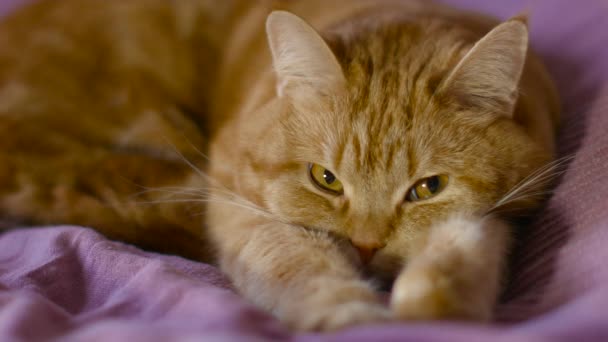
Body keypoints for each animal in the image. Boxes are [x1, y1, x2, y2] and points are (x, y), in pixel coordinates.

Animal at [0, 0, 560, 332]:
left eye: (428, 187)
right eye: (325, 179)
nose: (366, 245)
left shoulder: (506, 208)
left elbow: (471, 239)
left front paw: (438, 304)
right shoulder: (235, 206)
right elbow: (295, 261)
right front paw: (355, 317)